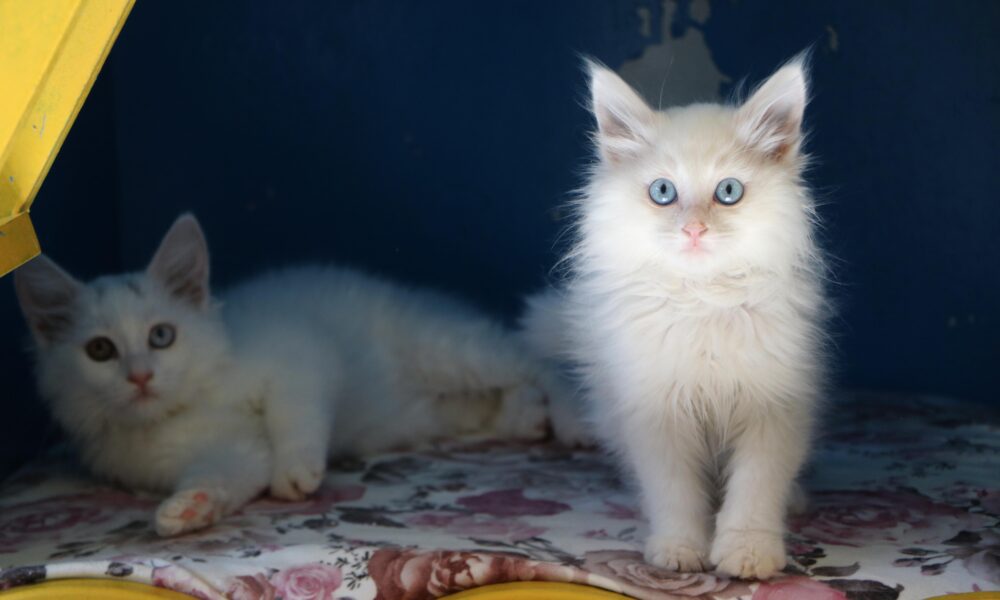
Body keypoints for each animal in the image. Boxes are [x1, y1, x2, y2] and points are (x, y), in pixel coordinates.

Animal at [14, 214, 555, 536]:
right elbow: (227, 473)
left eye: (161, 336)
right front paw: (188, 509)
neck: (184, 406)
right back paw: (531, 419)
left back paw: (568, 421)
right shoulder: (224, 451)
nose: (140, 377)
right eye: (100, 350)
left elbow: (294, 414)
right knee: (495, 403)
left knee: (539, 363)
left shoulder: (300, 352)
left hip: (448, 350)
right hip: (440, 408)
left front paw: (296, 473)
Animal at [521, 55, 828, 579]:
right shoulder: (657, 413)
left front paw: (748, 554)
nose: (694, 229)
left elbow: (755, 489)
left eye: (728, 191)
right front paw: (679, 551)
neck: (702, 300)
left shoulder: (773, 407)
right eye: (663, 192)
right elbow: (675, 494)